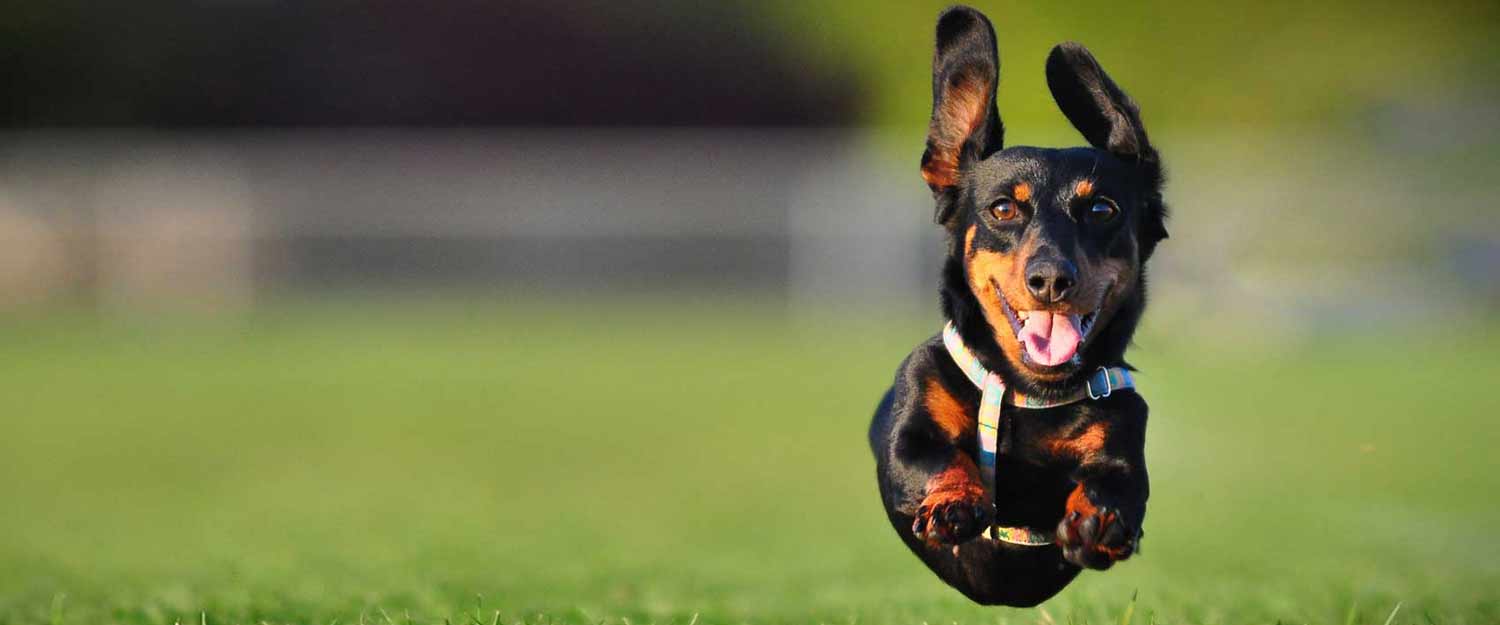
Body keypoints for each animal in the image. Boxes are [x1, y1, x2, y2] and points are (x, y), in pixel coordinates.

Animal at [870, 4, 1170, 605]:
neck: (1031, 392)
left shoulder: (1124, 435)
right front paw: (953, 501)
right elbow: (933, 457)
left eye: (1102, 209)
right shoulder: (910, 429)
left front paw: (1099, 519)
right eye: (1003, 208)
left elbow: (1118, 484)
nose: (1051, 279)